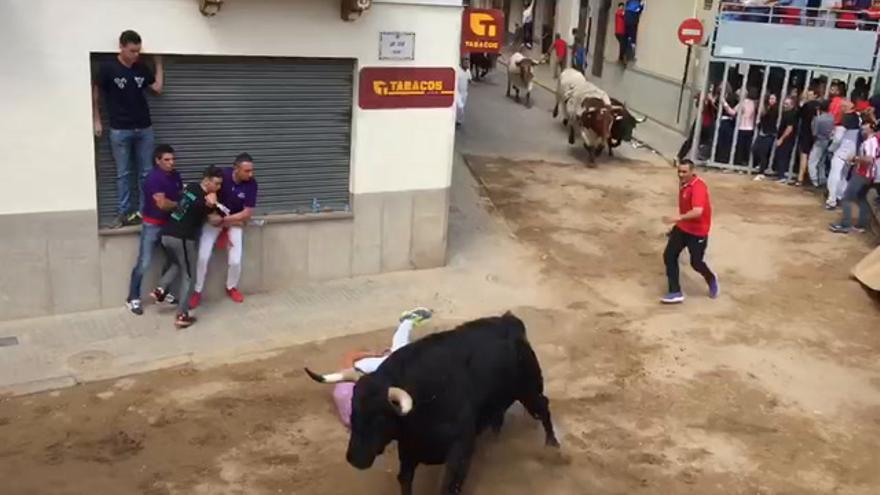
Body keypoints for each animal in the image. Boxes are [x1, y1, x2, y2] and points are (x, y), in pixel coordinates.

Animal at [306, 312, 560, 495]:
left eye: (379, 417)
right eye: (353, 410)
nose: (354, 459)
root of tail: (509, 321)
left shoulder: (460, 450)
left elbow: (448, 486)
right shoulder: (409, 448)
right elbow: (404, 480)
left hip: (529, 389)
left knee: (543, 407)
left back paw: (552, 445)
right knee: (499, 414)